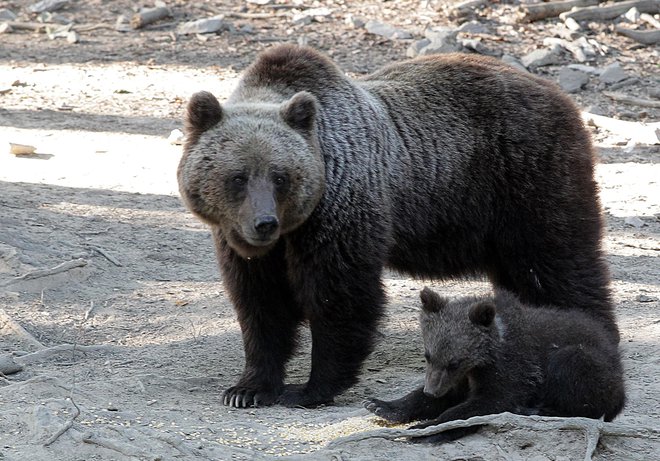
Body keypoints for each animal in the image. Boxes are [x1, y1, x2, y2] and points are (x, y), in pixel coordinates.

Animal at [177, 45, 620, 408]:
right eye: (237, 177)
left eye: (281, 176)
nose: (264, 223)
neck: (294, 228)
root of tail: (560, 96)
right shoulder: (243, 244)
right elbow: (260, 303)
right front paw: (248, 388)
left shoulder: (341, 207)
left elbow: (339, 297)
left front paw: (310, 389)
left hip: (529, 180)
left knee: (560, 265)